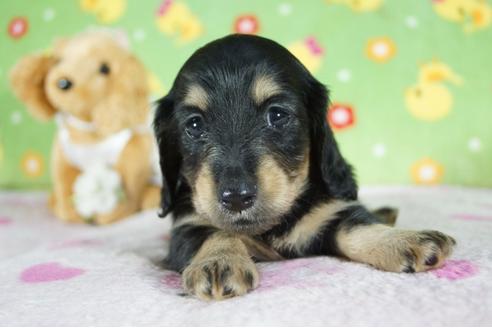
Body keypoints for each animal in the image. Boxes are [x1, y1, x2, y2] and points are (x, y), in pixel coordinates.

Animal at [155, 33, 458, 300]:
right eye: (194, 125)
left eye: (277, 115)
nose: (236, 198)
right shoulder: (187, 226)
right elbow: (216, 232)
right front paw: (219, 261)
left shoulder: (329, 211)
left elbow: (356, 225)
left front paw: (404, 240)